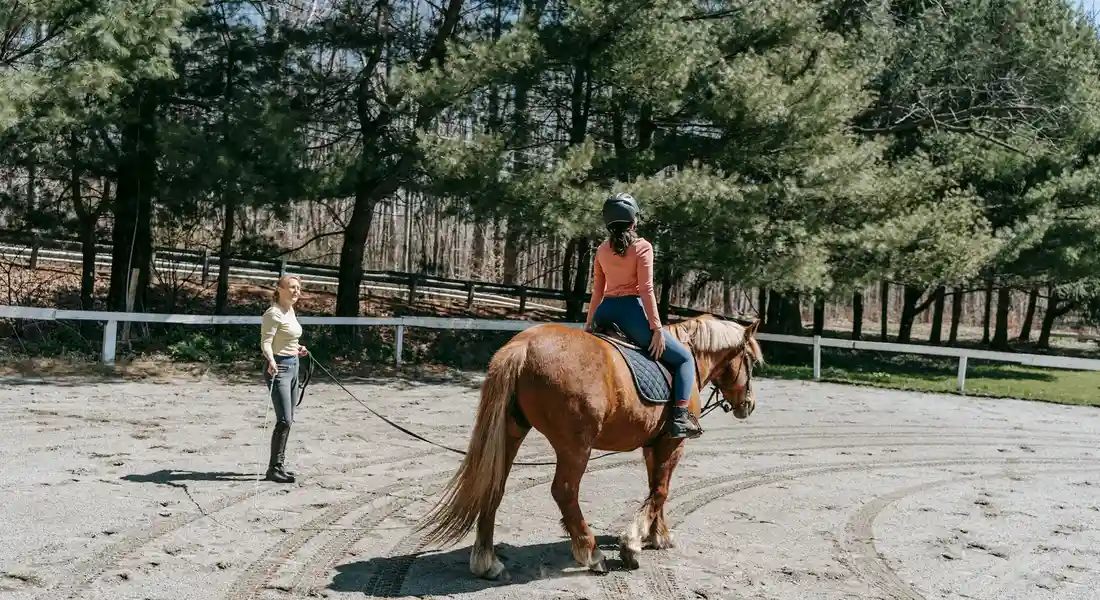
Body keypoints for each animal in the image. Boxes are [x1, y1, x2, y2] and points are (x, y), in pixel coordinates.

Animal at [414, 313, 764, 580]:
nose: (749, 404)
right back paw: (591, 553)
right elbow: (661, 491)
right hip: (575, 447)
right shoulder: (673, 442)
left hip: (511, 433)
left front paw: (657, 535)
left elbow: (656, 488)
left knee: (494, 486)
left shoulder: (654, 445)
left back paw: (488, 562)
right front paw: (633, 543)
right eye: (750, 360)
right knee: (565, 492)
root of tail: (522, 346)